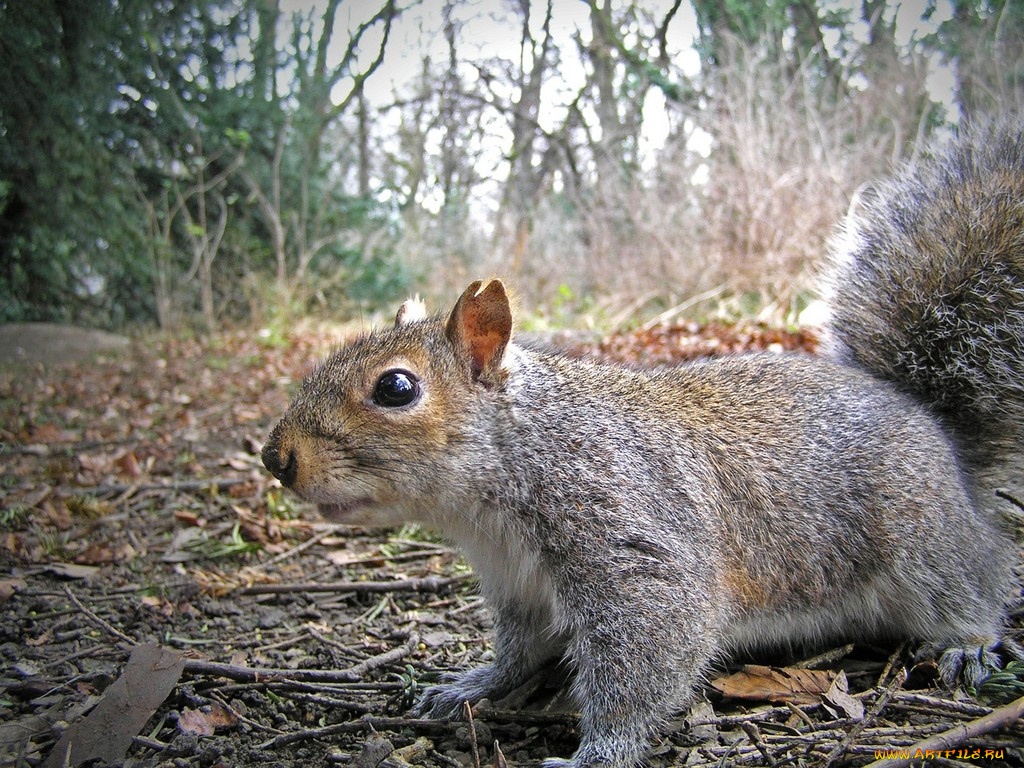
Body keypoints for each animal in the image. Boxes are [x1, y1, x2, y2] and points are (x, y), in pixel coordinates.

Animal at [262, 120, 1024, 768]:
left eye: (396, 388)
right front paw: (473, 684)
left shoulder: (632, 541)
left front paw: (596, 754)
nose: (276, 459)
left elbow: (648, 656)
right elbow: (520, 650)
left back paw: (968, 643)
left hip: (921, 537)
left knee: (977, 580)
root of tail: (932, 425)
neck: (513, 467)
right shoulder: (518, 584)